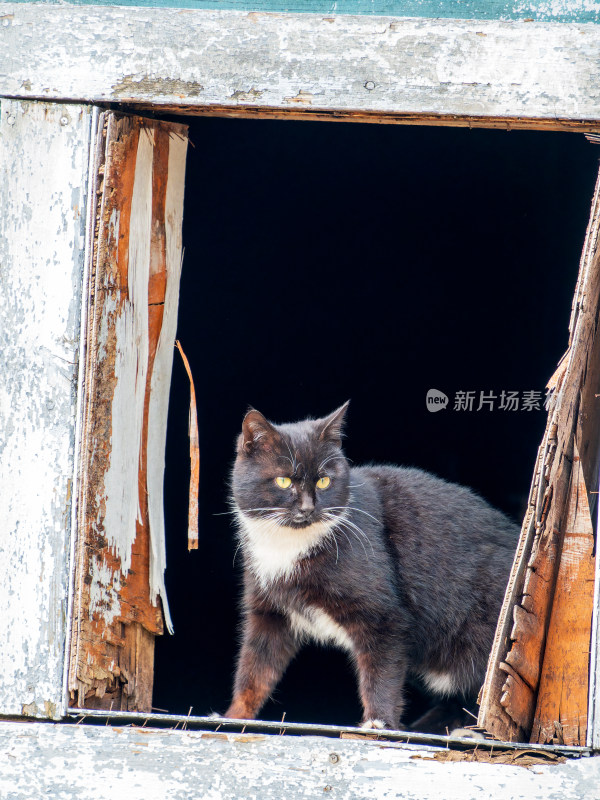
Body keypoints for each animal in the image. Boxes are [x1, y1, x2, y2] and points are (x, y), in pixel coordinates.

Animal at [223, 404, 516, 728]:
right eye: (283, 481)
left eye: (324, 480)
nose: (308, 507)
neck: (290, 546)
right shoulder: (268, 609)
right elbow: (256, 668)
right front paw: (233, 716)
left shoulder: (384, 616)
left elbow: (381, 672)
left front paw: (378, 722)